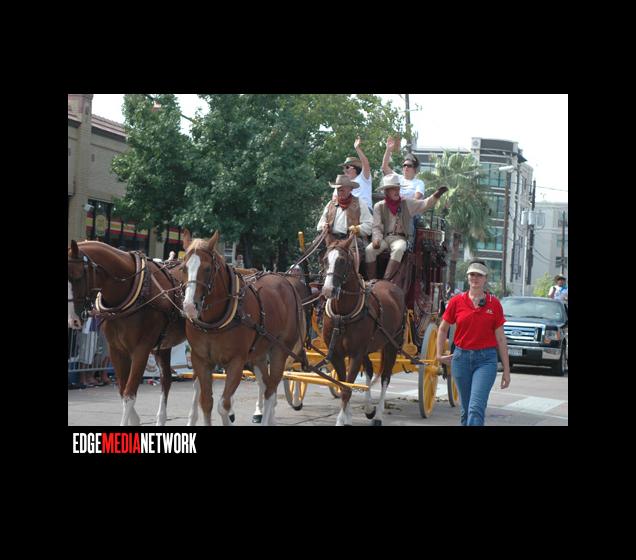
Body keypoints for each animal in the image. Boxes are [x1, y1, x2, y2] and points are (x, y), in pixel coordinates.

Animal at [68, 240, 186, 425]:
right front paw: (135, 420)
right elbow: (122, 391)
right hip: (164, 346)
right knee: (166, 379)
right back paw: (161, 418)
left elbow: (129, 394)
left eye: (77, 275)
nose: (73, 319)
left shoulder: (141, 350)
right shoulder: (116, 350)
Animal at [181, 231, 307, 426]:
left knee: (271, 390)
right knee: (266, 384)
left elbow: (223, 405)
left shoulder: (236, 362)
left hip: (279, 350)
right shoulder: (200, 360)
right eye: (183, 268)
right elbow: (206, 402)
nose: (189, 307)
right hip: (258, 355)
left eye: (207, 269)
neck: (215, 322)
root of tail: (287, 282)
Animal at [321, 234, 406, 425]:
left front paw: (341, 420)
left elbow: (347, 388)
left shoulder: (356, 354)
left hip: (392, 344)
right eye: (324, 260)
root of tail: (390, 284)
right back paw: (368, 408)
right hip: (368, 347)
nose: (328, 290)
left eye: (342, 261)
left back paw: (379, 415)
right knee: (369, 370)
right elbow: (344, 384)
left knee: (385, 378)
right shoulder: (337, 354)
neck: (342, 314)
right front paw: (348, 417)